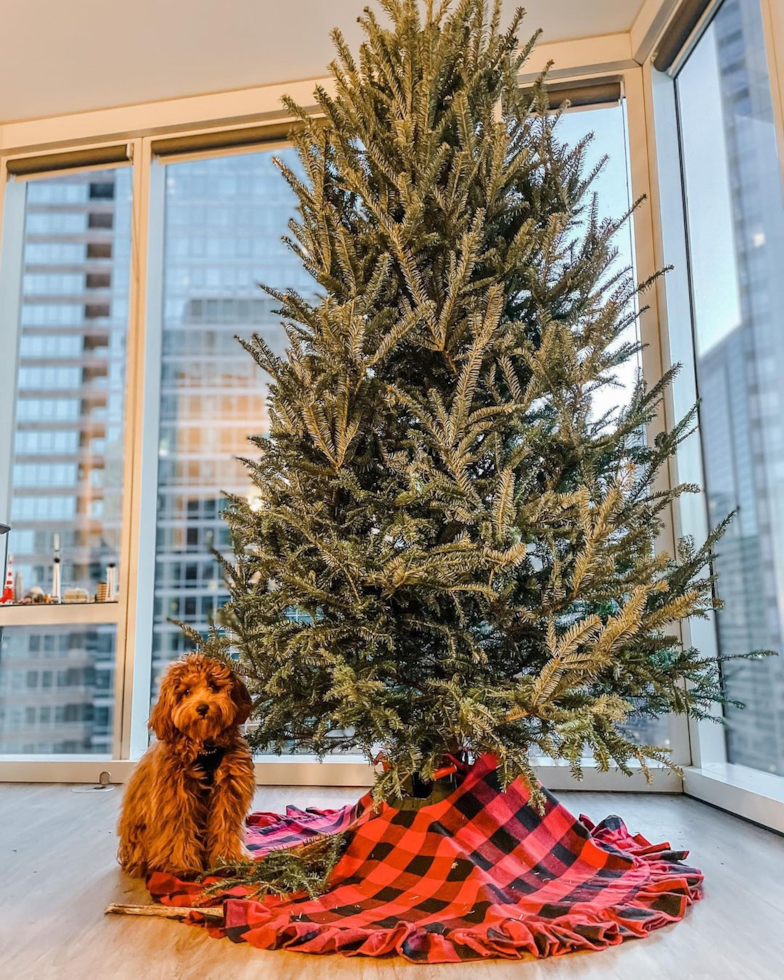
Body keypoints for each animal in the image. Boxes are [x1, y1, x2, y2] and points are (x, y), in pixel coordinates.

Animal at [118, 656, 256, 876]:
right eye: (186, 691)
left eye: (213, 686)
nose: (202, 708)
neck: (205, 749)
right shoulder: (175, 796)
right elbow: (178, 831)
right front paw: (181, 865)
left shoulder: (228, 791)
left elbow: (225, 824)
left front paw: (228, 860)